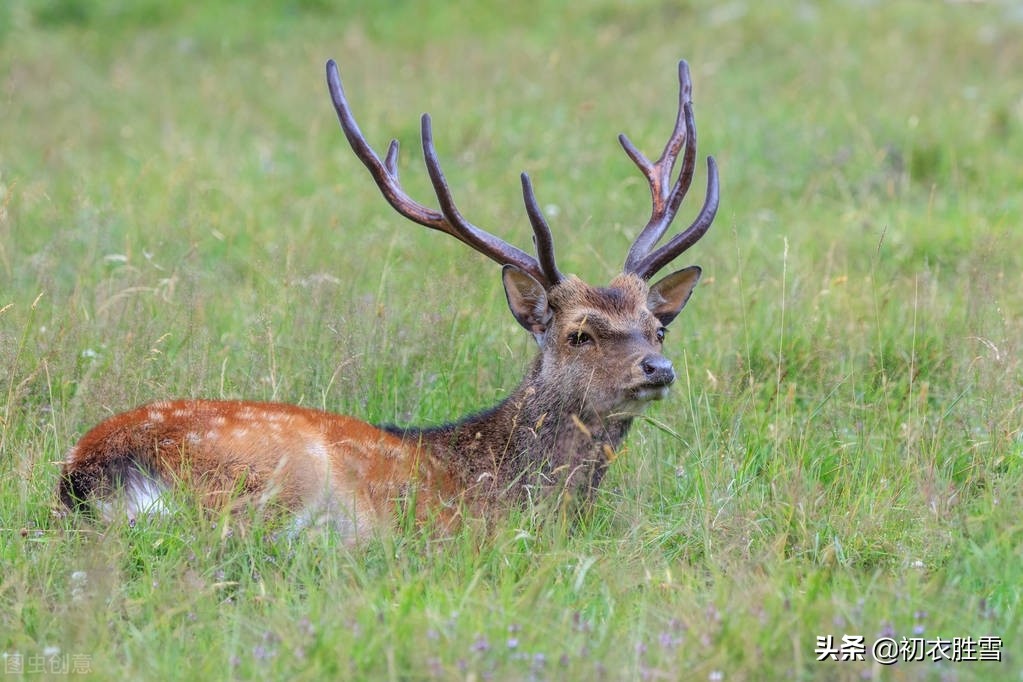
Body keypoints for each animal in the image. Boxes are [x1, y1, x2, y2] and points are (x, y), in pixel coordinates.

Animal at [56, 58, 720, 539]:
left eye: (657, 328)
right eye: (580, 332)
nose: (658, 368)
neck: (506, 486)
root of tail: (86, 470)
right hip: (273, 478)